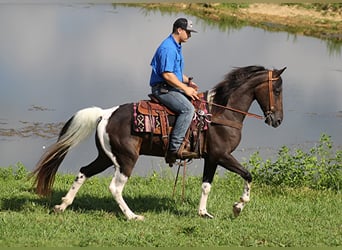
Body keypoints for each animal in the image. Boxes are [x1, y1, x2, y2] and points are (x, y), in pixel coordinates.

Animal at [30, 65, 286, 220]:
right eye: (277, 89)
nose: (278, 120)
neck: (220, 113)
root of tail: (104, 114)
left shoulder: (212, 158)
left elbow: (206, 185)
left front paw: (204, 213)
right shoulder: (222, 155)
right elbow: (248, 175)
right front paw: (238, 206)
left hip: (106, 157)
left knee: (83, 172)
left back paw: (62, 205)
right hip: (126, 159)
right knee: (115, 187)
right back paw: (133, 216)